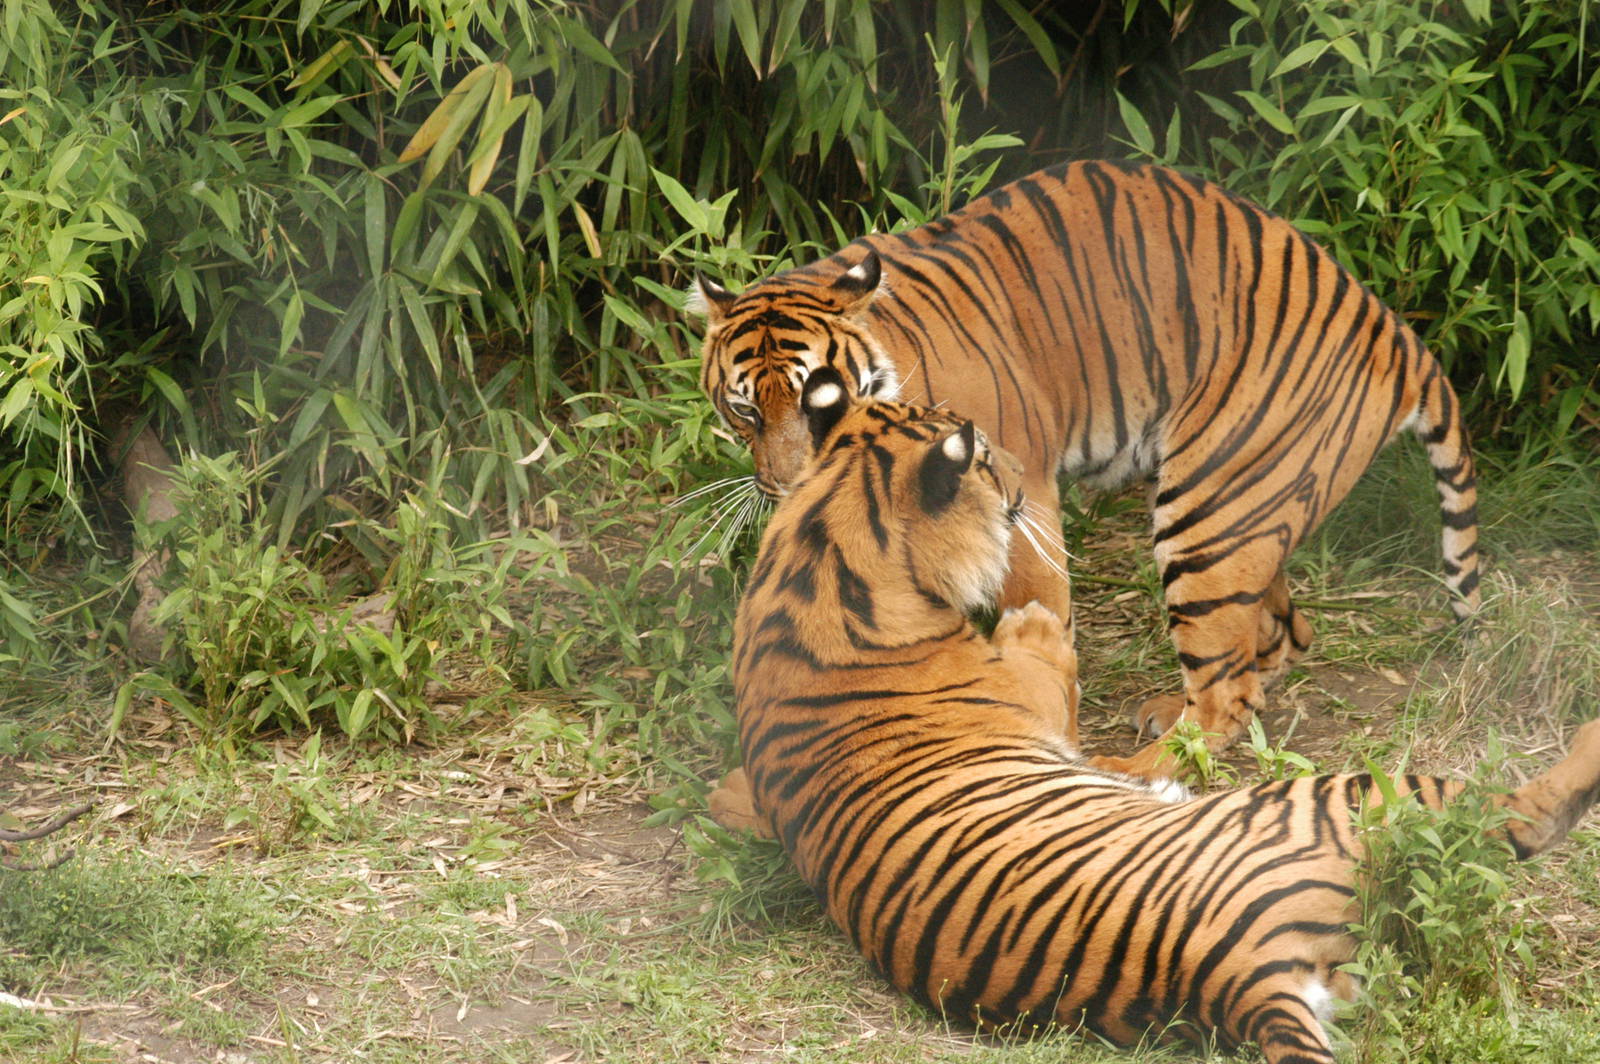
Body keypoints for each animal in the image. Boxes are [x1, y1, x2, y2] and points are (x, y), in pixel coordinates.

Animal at [687, 159, 1481, 779]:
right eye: (745, 411)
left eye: (816, 397)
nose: (788, 486)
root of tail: (1392, 330)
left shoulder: (1024, 490)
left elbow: (1038, 611)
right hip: (1252, 507)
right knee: (1277, 637)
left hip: (1208, 512)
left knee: (1226, 693)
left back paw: (1135, 765)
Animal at [707, 373, 1600, 1063]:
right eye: (989, 461)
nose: (1025, 485)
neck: (819, 549)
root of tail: (1235, 977)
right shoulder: (1038, 696)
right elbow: (1043, 644)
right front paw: (1032, 615)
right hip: (1348, 794)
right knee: (1520, 816)